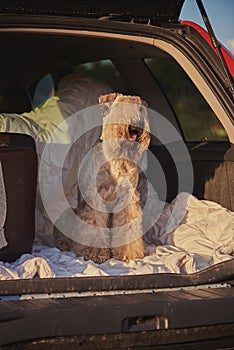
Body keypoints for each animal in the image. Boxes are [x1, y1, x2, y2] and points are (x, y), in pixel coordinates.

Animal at [53, 93, 150, 262]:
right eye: (121, 107)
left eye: (141, 109)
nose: (137, 124)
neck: (115, 159)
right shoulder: (95, 197)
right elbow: (95, 227)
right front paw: (94, 253)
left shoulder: (127, 199)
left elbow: (128, 227)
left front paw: (128, 252)